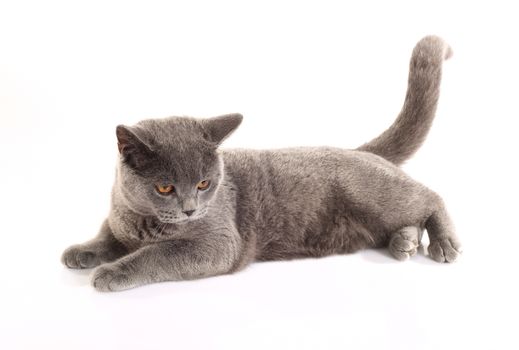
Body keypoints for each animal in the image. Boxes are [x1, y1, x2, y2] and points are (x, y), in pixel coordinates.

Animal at [62, 36, 464, 292]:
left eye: (204, 184)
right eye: (165, 187)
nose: (190, 209)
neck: (143, 220)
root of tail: (359, 151)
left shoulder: (218, 243)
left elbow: (157, 254)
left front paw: (112, 272)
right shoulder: (118, 217)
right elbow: (107, 235)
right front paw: (82, 251)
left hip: (374, 194)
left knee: (430, 197)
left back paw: (443, 243)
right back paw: (405, 242)